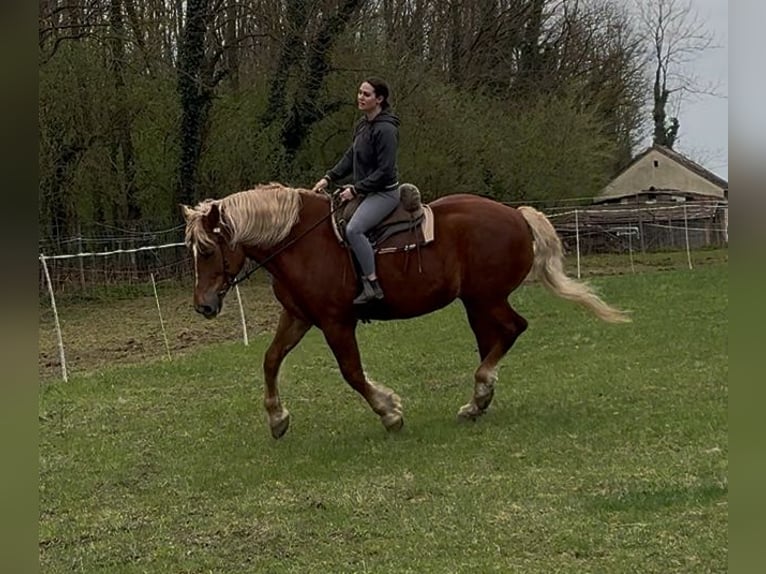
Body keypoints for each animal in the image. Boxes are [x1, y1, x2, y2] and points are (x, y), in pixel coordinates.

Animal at [181, 182, 629, 439]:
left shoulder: (335, 322)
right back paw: (478, 401)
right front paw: (277, 419)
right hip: (476, 303)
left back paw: (479, 392)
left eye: (207, 250)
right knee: (495, 338)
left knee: (513, 329)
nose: (203, 305)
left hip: (486, 299)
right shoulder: (299, 317)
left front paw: (390, 412)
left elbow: (352, 373)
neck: (302, 241)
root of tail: (516, 214)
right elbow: (271, 359)